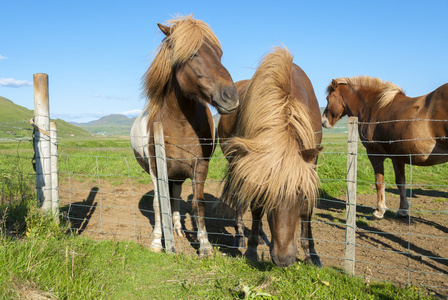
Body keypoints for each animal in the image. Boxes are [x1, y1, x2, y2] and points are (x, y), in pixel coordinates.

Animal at [131, 15, 240, 255]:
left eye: (219, 54)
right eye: (192, 54)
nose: (230, 96)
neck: (179, 124)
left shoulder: (200, 166)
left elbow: (197, 203)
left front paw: (205, 245)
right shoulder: (156, 168)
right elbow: (158, 204)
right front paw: (156, 242)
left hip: (178, 175)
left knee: (176, 199)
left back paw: (178, 229)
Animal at [218, 47, 320, 268]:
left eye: (299, 195)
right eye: (267, 193)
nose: (284, 259)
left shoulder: (311, 165)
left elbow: (307, 210)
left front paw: (312, 254)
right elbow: (256, 208)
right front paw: (251, 250)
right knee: (239, 199)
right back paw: (240, 236)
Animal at [322, 75, 448, 218]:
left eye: (328, 99)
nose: (323, 121)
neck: (374, 106)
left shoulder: (374, 154)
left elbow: (379, 181)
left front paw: (379, 210)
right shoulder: (397, 157)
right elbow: (400, 181)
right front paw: (403, 209)